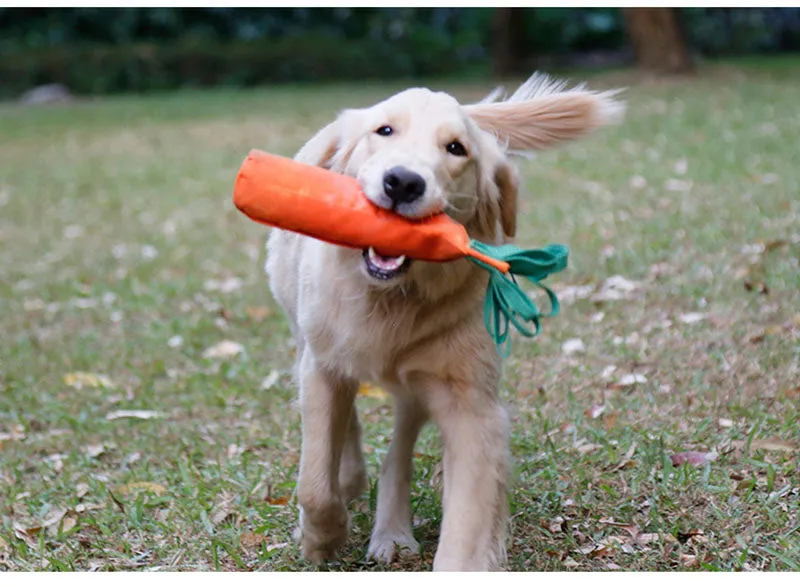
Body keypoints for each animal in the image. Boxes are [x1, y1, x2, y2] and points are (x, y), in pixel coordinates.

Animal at [266, 73, 620, 568]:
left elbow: (467, 523)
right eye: (384, 131)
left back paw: (392, 531)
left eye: (456, 148)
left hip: (417, 384)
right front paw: (322, 537)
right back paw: (351, 483)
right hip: (305, 336)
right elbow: (315, 480)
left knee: (398, 450)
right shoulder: (322, 365)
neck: (392, 300)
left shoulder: (470, 406)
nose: (403, 182)